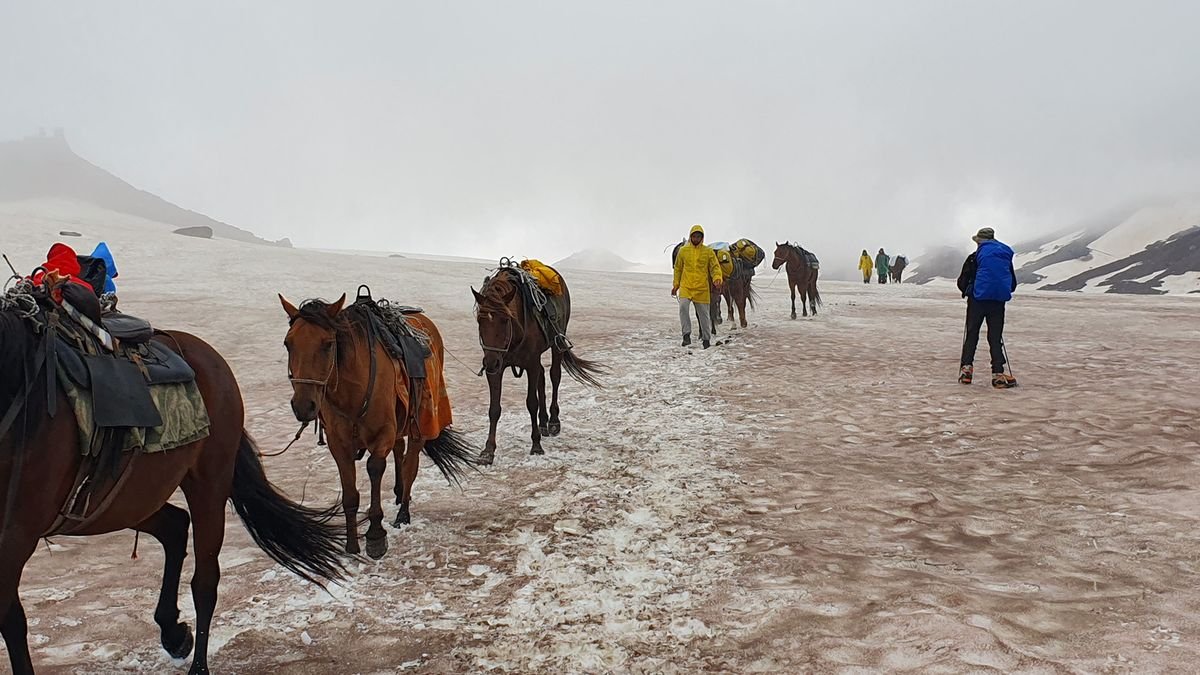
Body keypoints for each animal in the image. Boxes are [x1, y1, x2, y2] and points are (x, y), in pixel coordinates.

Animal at [1, 285, 345, 675]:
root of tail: (209, 357)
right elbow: (11, 618)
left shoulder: (16, 535)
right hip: (124, 499)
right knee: (175, 525)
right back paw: (173, 632)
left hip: (206, 483)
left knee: (205, 579)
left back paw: (196, 660)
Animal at [280, 293, 477, 560]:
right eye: (288, 344)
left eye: (328, 344)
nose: (303, 406)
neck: (352, 391)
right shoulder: (338, 444)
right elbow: (350, 495)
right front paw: (352, 545)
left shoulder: (381, 435)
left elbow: (375, 468)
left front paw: (375, 536)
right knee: (400, 448)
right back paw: (399, 491)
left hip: (422, 419)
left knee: (411, 461)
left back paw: (403, 512)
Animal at [472, 264, 605, 463]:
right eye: (480, 319)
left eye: (505, 319)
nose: (491, 362)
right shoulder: (497, 368)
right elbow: (494, 409)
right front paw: (488, 451)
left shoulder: (530, 364)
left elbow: (531, 403)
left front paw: (536, 445)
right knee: (542, 378)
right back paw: (543, 422)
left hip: (557, 343)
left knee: (554, 376)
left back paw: (553, 421)